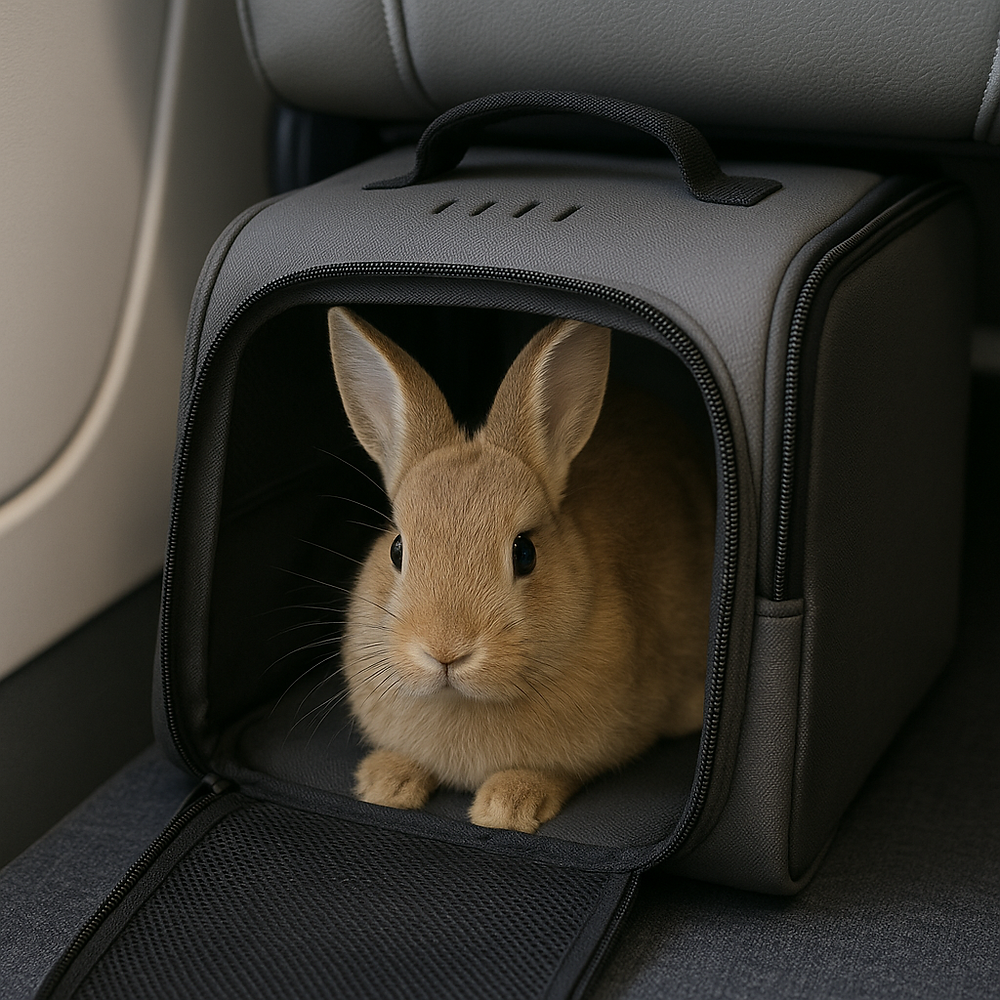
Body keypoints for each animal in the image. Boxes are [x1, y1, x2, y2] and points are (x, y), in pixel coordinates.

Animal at [327, 306, 715, 834]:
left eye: (525, 552)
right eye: (397, 549)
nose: (445, 652)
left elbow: (559, 772)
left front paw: (506, 808)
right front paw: (384, 785)